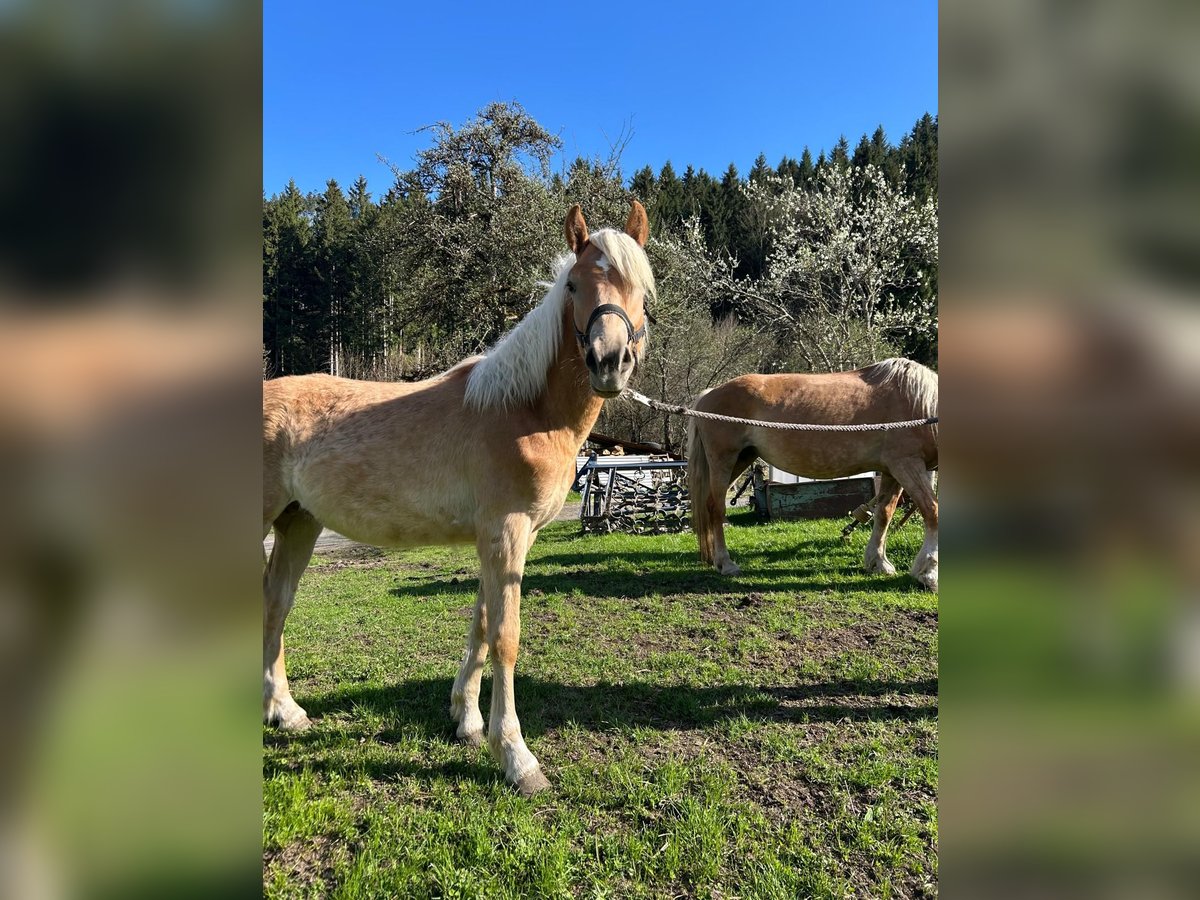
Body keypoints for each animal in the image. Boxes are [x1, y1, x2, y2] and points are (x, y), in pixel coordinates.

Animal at [262, 202, 654, 795]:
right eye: (573, 285)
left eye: (642, 288)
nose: (610, 361)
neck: (524, 410)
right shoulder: (505, 529)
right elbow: (506, 635)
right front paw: (517, 757)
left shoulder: (506, 537)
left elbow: (482, 624)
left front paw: (468, 722)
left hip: (298, 523)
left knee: (276, 601)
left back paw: (285, 711)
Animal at [687, 359, 938, 590]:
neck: (920, 405)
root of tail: (709, 394)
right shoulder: (906, 464)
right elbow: (932, 511)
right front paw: (929, 574)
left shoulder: (891, 471)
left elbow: (884, 514)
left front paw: (878, 562)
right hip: (723, 461)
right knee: (716, 508)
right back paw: (726, 564)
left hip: (740, 460)